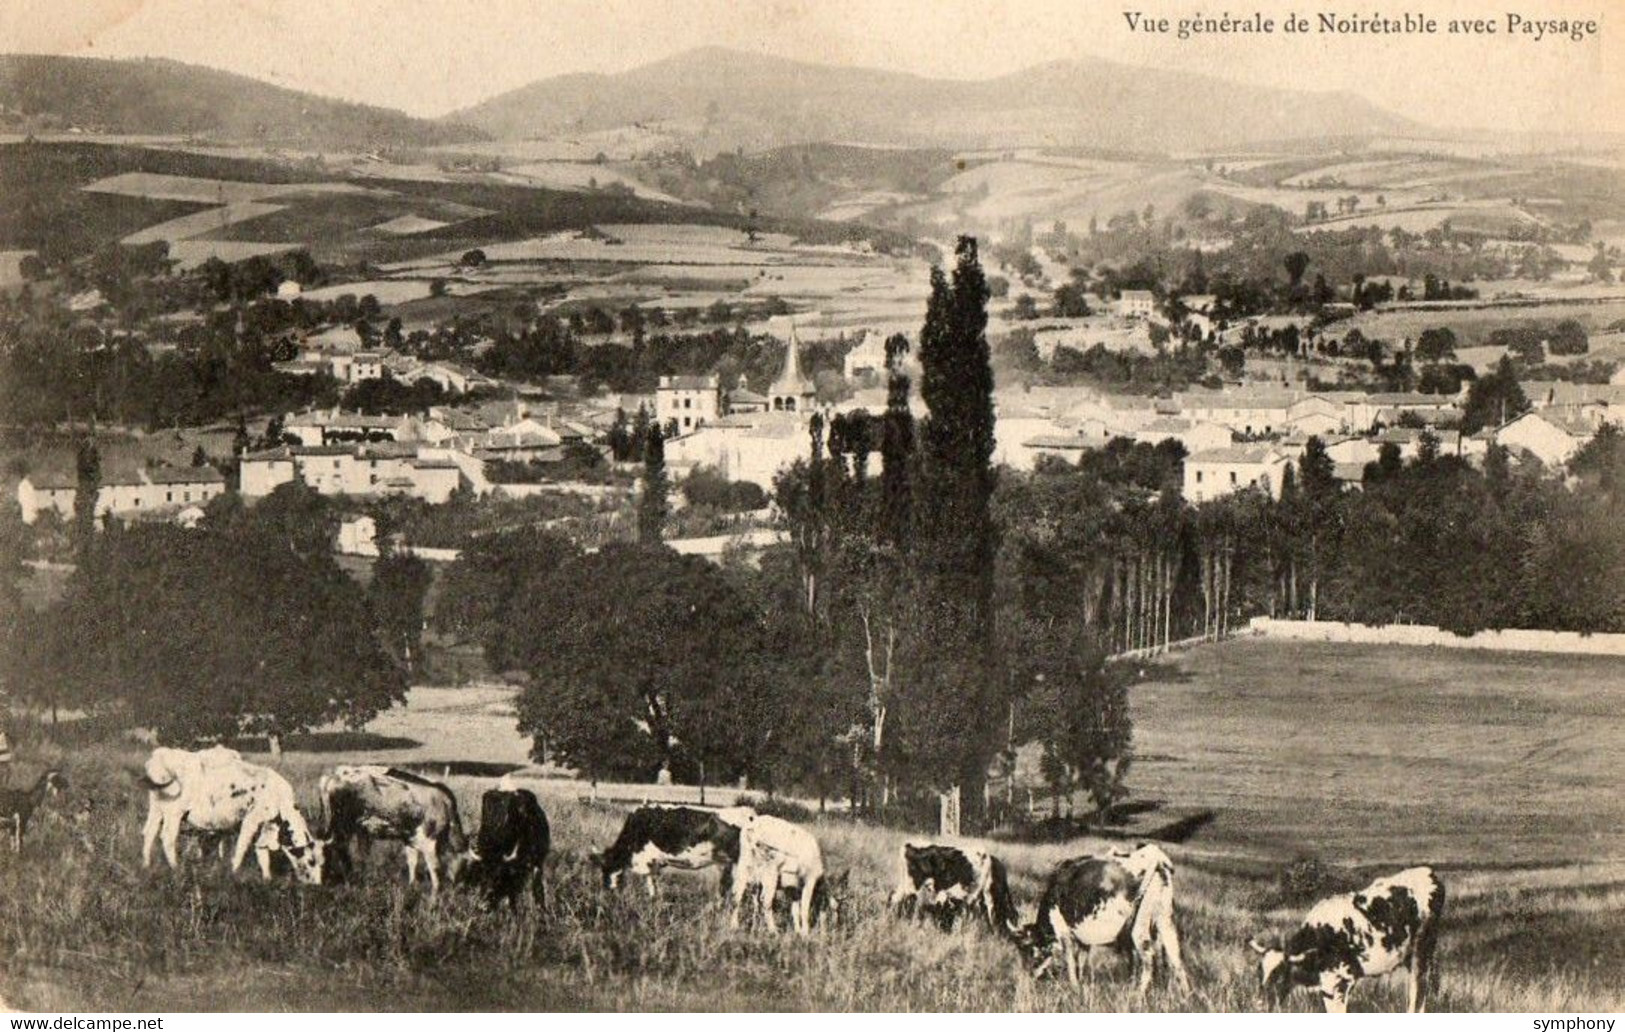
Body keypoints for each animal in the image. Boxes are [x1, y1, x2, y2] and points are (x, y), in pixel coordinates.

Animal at [142, 747, 326, 884]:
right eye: (311, 861)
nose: (316, 884)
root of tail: (159, 755)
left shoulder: (266, 825)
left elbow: (262, 851)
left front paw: (267, 878)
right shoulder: (252, 819)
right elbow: (242, 847)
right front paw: (234, 871)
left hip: (156, 808)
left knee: (149, 833)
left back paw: (146, 864)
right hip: (174, 811)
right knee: (167, 837)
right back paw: (176, 868)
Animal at [594, 799, 757, 897]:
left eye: (605, 869)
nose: (605, 892)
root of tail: (749, 813)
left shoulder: (646, 860)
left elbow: (650, 881)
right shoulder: (654, 863)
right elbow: (652, 883)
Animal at [1020, 845, 1189, 994]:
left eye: (1030, 951)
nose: (1028, 976)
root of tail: (1156, 856)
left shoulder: (1064, 932)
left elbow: (1070, 960)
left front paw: (1074, 987)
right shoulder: (1083, 938)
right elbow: (1081, 961)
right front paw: (1081, 984)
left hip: (1140, 925)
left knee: (1149, 958)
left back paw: (1138, 996)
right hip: (1164, 919)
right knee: (1175, 955)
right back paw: (1185, 996)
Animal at [1241, 864, 1449, 1020]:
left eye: (1279, 976)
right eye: (1259, 973)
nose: (1258, 1005)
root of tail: (1427, 871)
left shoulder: (1339, 983)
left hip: (1422, 949)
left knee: (1419, 990)